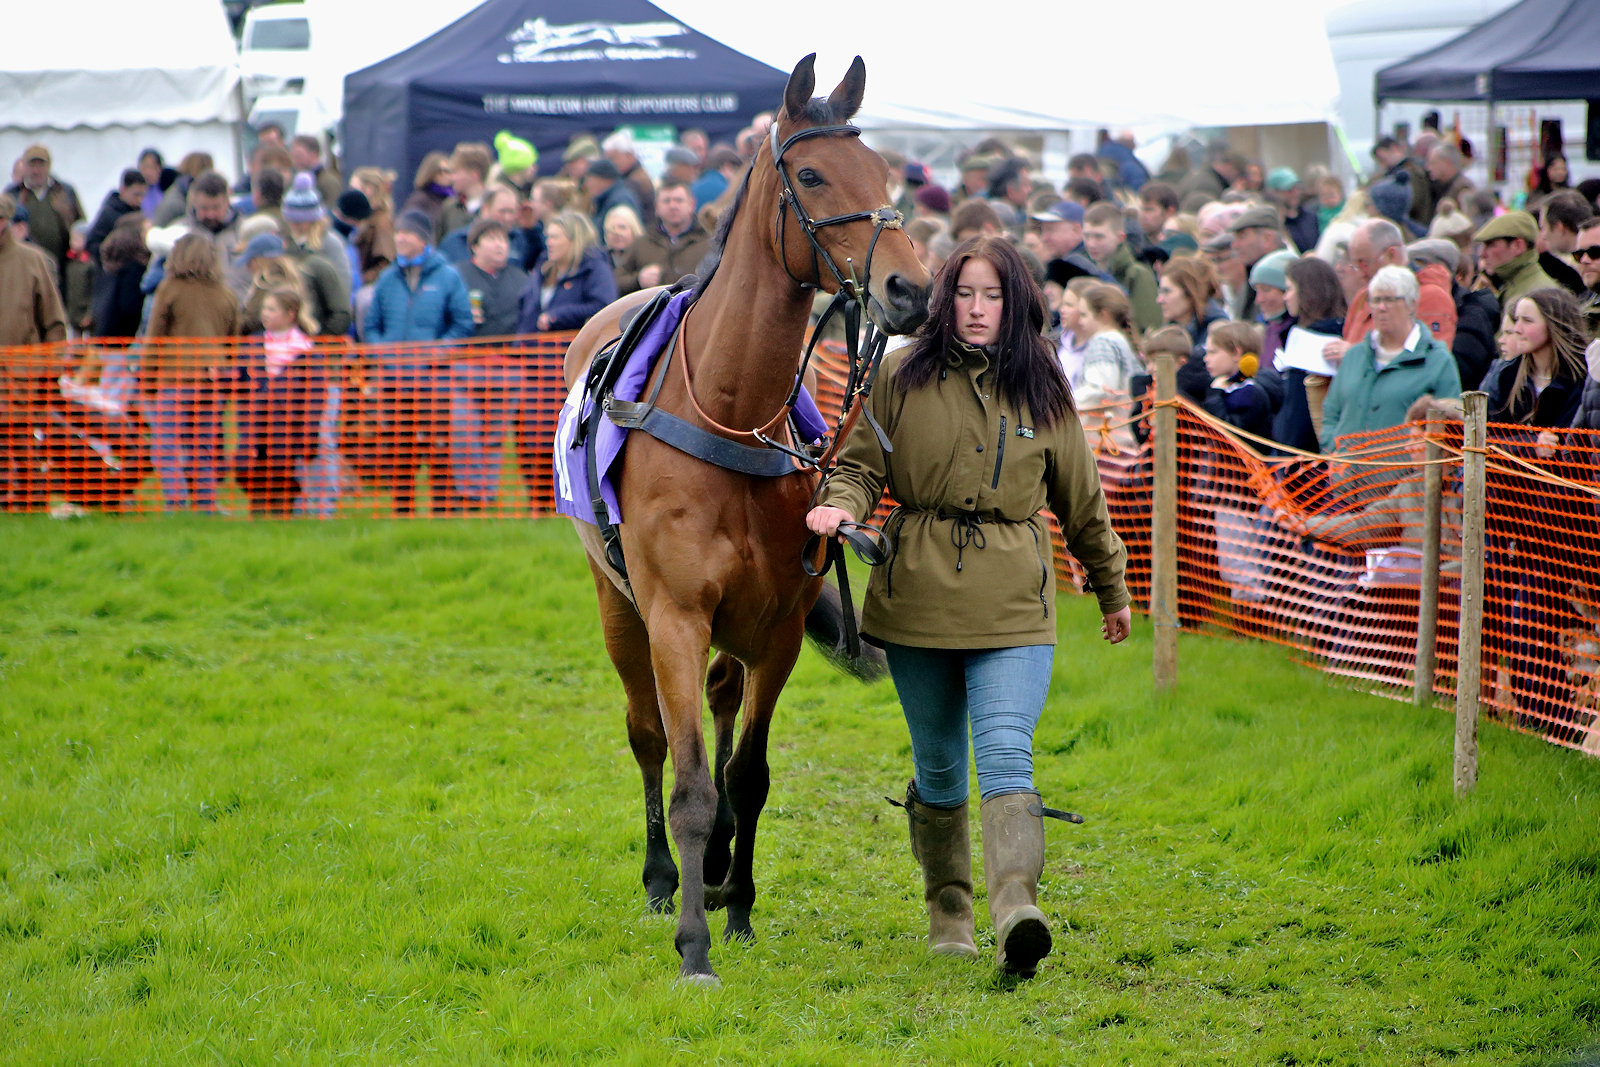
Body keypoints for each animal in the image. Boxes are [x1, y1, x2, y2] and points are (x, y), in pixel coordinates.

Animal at [560, 54, 930, 984]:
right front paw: (693, 940)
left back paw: (721, 863)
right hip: (617, 603)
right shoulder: (675, 617)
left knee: (723, 711)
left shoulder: (779, 626)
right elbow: (690, 776)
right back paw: (666, 876)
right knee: (649, 735)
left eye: (886, 173)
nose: (909, 288)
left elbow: (750, 771)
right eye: (813, 174)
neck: (728, 412)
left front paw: (738, 909)